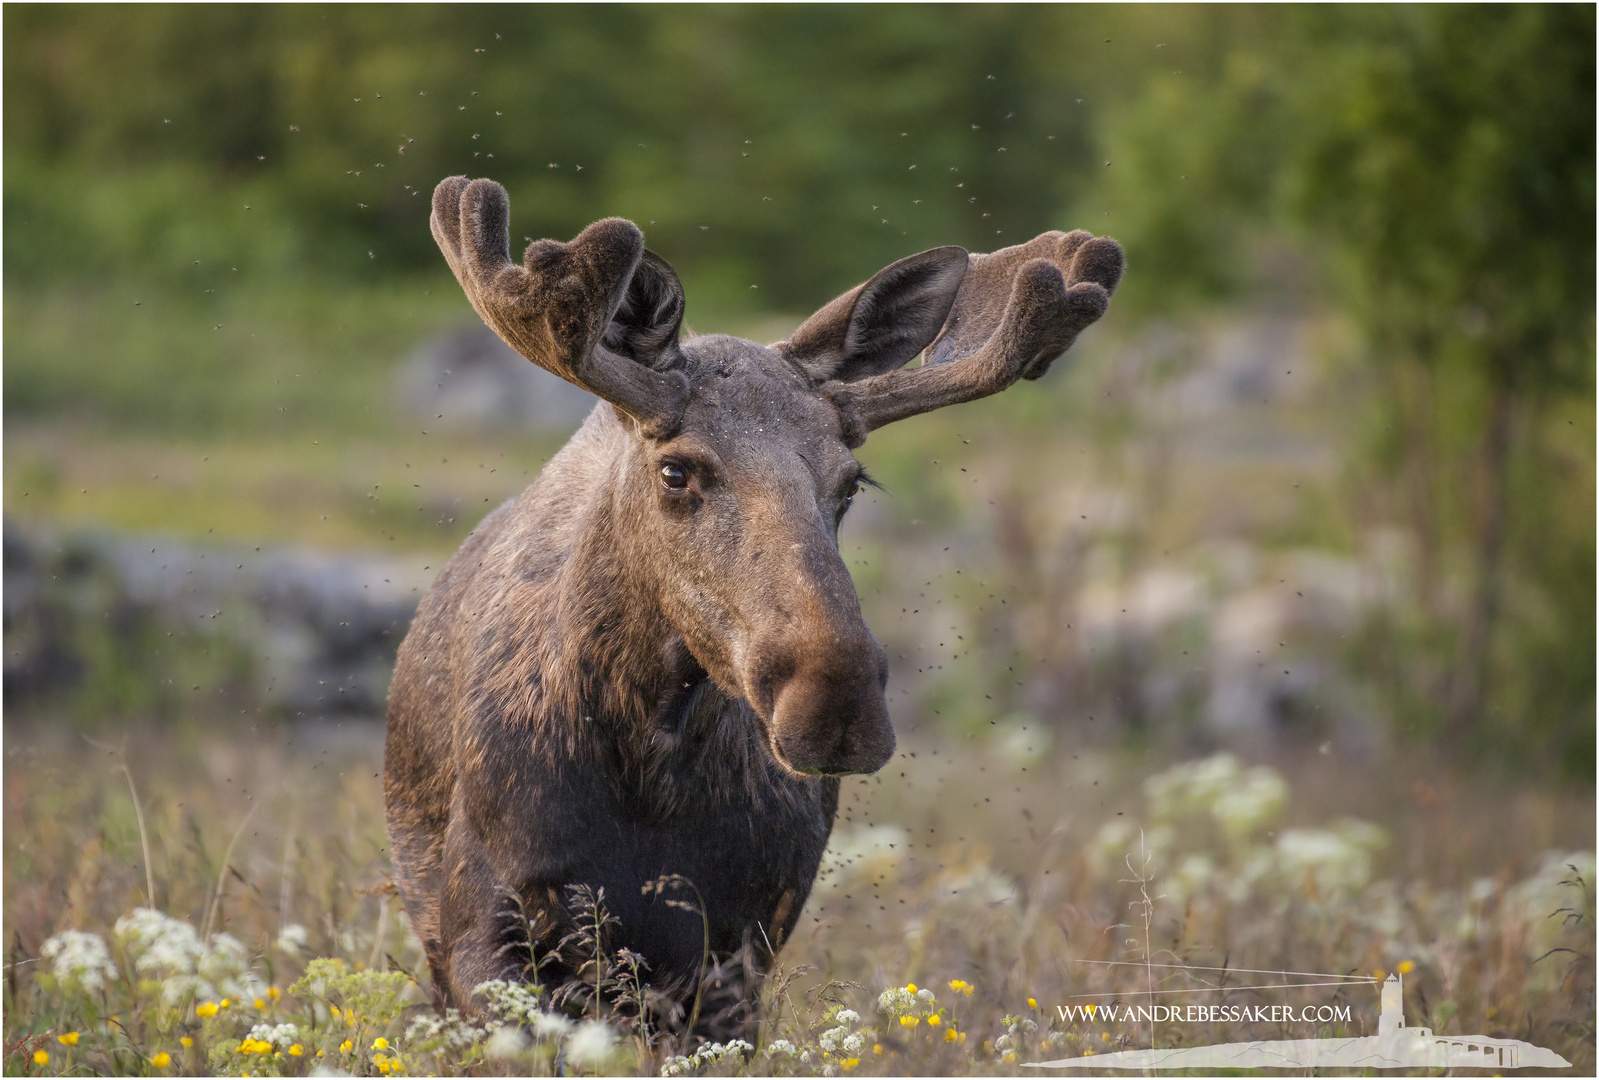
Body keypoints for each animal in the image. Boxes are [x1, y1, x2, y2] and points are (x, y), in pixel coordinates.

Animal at [383, 175, 1125, 1030]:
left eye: (850, 483)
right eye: (675, 471)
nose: (835, 701)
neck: (647, 773)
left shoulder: (737, 956)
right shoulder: (485, 933)